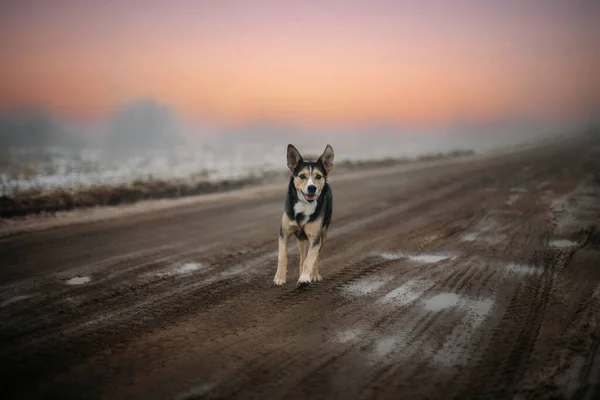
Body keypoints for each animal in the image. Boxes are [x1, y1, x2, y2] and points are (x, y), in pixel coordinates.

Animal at [274, 144, 336, 288]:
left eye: (318, 176)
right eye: (302, 176)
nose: (312, 188)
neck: (304, 204)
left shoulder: (315, 238)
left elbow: (311, 259)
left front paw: (305, 278)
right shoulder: (284, 233)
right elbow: (283, 256)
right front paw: (279, 277)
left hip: (323, 234)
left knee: (314, 257)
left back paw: (314, 274)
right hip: (300, 239)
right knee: (302, 255)